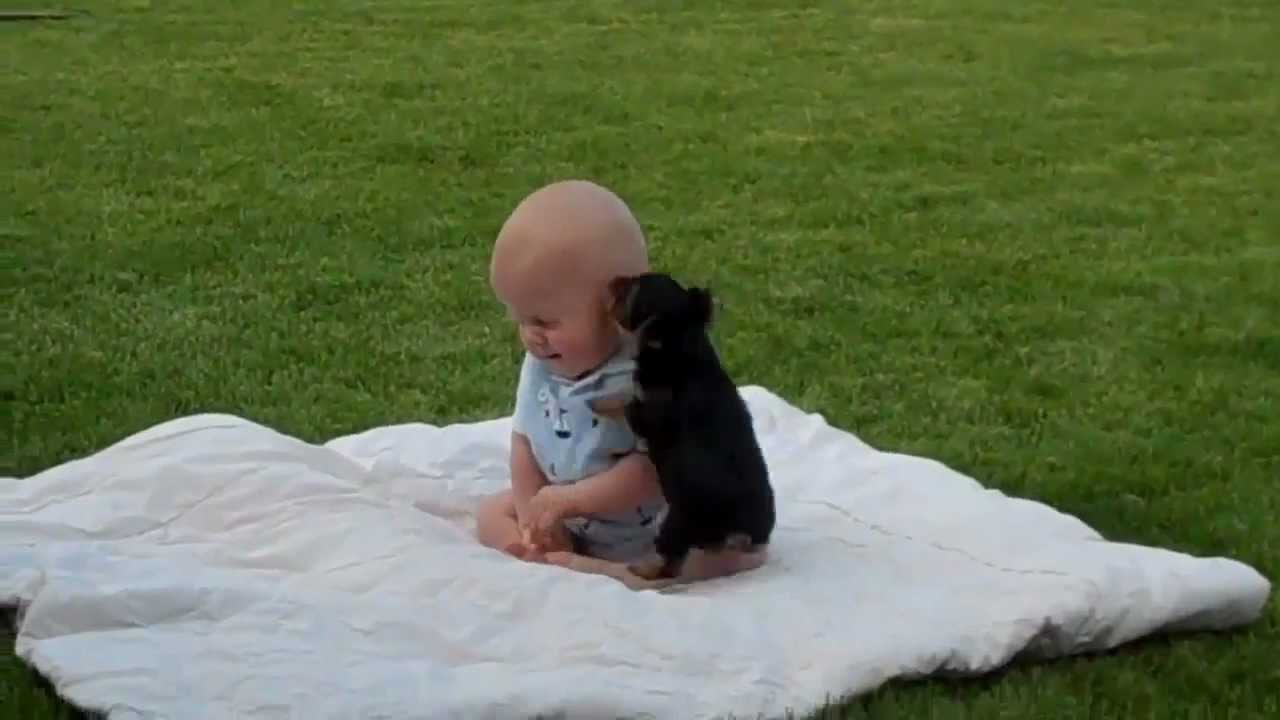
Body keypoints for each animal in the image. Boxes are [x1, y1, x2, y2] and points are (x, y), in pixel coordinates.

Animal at [606, 271, 773, 579]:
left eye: (631, 289)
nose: (612, 281)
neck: (681, 346)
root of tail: (741, 533)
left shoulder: (647, 410)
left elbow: (624, 404)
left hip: (680, 521)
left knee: (670, 560)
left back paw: (642, 570)